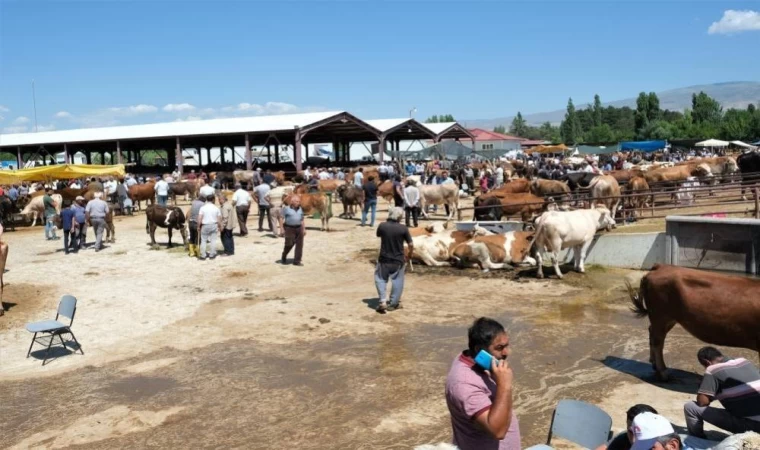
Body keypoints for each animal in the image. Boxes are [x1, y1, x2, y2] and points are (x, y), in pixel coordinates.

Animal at [628, 264, 760, 380]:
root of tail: (662, 266)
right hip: (661, 316)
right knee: (657, 342)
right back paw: (663, 373)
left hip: (668, 319)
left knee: (653, 334)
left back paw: (654, 365)